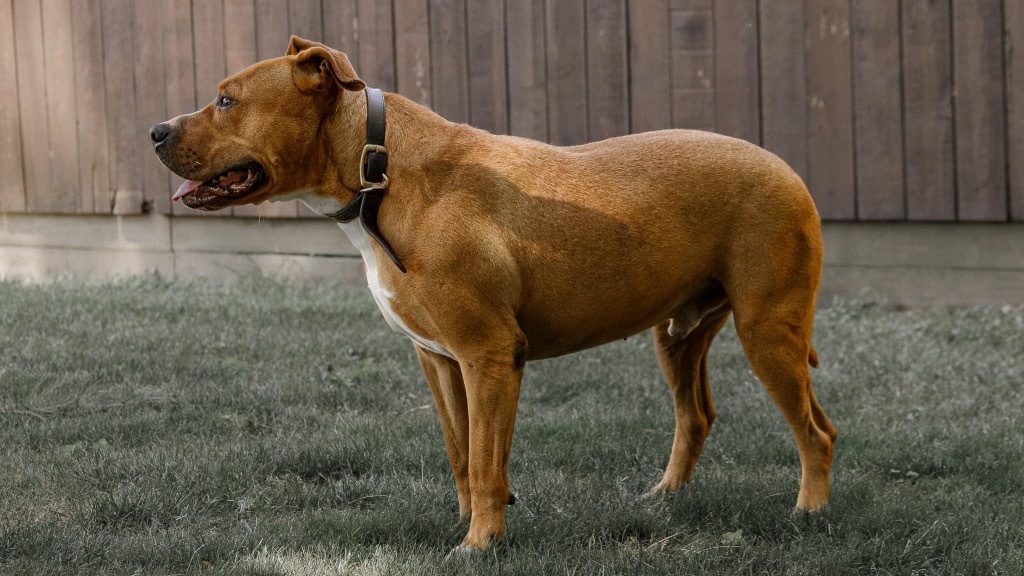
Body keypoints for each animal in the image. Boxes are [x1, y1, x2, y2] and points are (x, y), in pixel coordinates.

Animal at [153, 36, 839, 553]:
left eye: (226, 101)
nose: (157, 130)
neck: (382, 173)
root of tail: (785, 168)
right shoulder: (440, 360)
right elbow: (463, 454)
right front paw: (469, 523)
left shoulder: (488, 358)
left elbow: (486, 461)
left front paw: (480, 543)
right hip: (676, 336)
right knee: (695, 416)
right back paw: (665, 499)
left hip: (768, 333)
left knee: (817, 432)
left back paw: (809, 512)